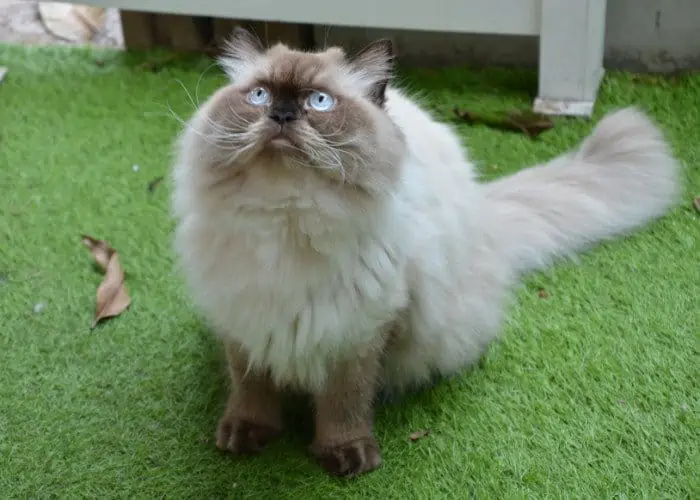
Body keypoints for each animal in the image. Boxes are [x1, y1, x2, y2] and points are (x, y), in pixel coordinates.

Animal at [170, 28, 680, 476]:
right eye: (258, 95)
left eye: (319, 102)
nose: (280, 113)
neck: (285, 221)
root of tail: (483, 211)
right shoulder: (243, 315)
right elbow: (250, 385)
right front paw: (245, 433)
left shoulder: (360, 328)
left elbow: (344, 402)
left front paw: (345, 455)